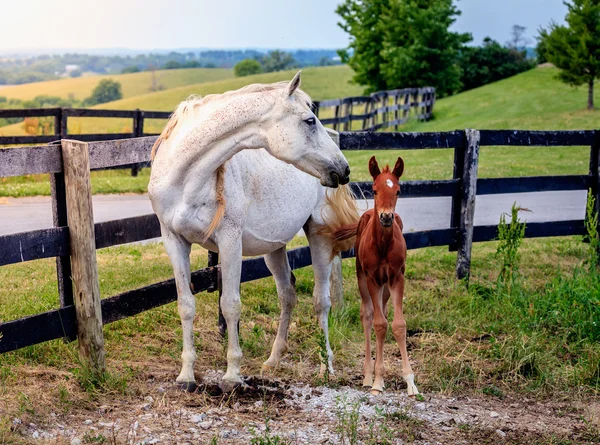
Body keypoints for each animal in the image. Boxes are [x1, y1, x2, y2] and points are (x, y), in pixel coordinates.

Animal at [148, 72, 358, 388]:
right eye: (309, 120)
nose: (342, 169)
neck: (185, 178)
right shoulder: (174, 241)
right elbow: (186, 305)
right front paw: (186, 376)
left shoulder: (229, 242)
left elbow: (230, 305)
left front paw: (232, 375)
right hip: (274, 247)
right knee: (288, 294)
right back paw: (273, 360)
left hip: (319, 235)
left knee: (321, 301)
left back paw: (326, 367)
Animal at [338, 156, 418, 396]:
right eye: (374, 190)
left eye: (398, 191)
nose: (386, 217)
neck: (382, 245)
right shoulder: (373, 279)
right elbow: (379, 324)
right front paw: (377, 380)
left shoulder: (397, 278)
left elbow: (398, 325)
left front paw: (410, 381)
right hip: (362, 278)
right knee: (368, 315)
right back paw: (367, 375)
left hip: (385, 287)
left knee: (381, 311)